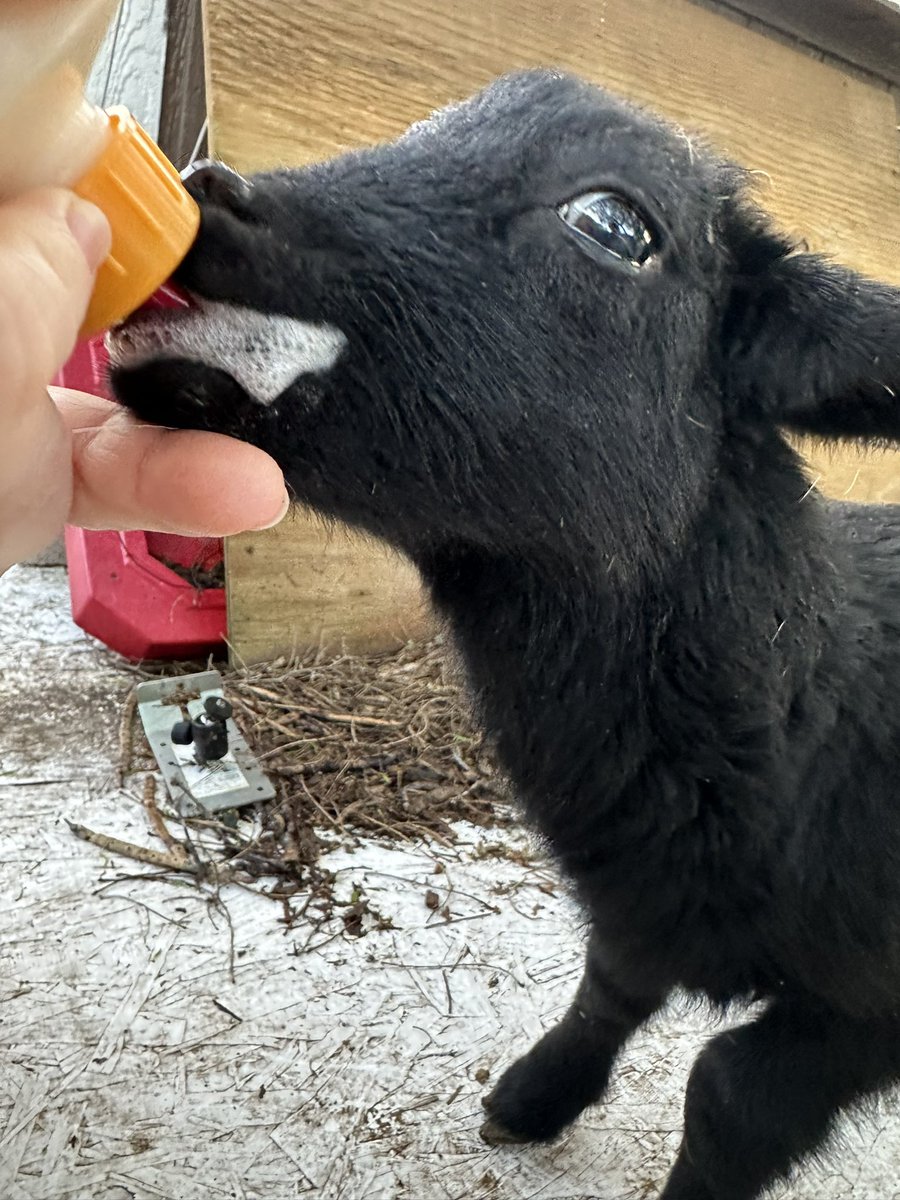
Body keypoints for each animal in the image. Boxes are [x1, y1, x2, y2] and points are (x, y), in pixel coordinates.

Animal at [108, 69, 900, 1199]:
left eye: (615, 223)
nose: (206, 193)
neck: (813, 715)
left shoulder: (866, 1012)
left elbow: (728, 1096)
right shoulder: (639, 900)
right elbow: (611, 987)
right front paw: (531, 1097)